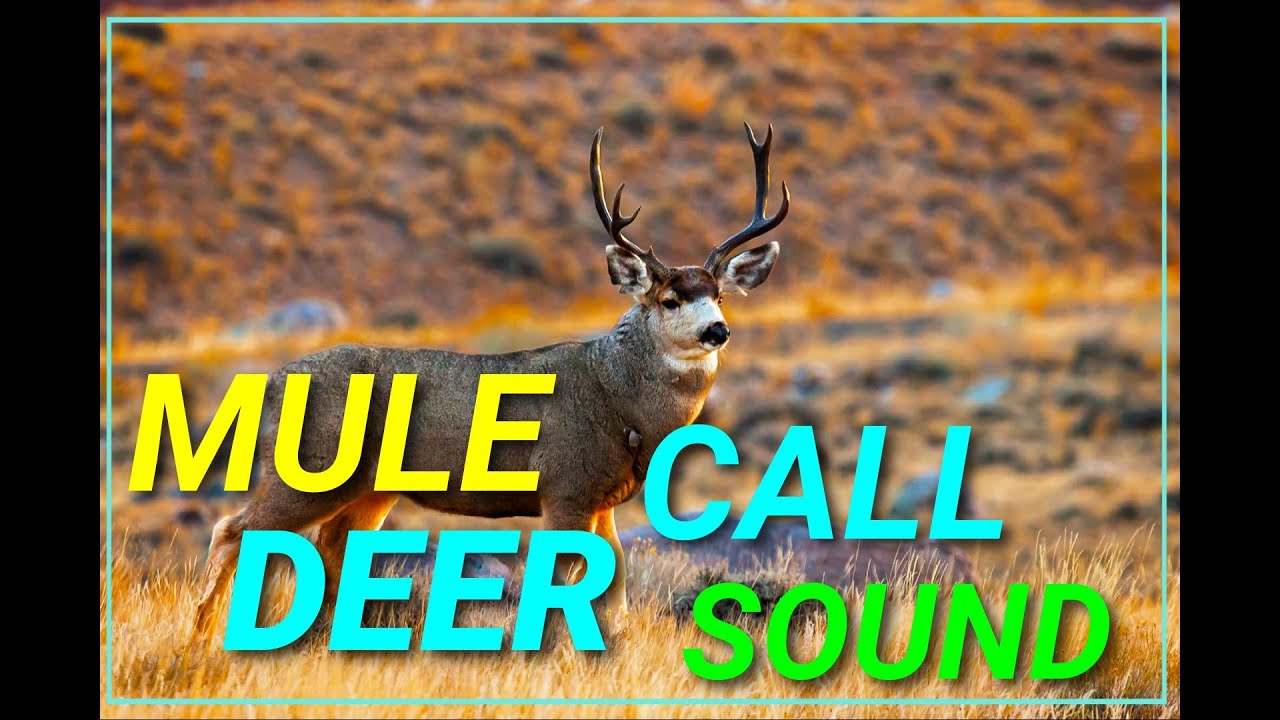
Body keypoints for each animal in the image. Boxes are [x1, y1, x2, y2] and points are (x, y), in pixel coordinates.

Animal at [190, 122, 791, 645]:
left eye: (720, 294)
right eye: (669, 299)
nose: (718, 329)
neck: (617, 397)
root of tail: (267, 383)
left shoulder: (603, 500)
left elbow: (616, 591)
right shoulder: (564, 488)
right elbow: (568, 584)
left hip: (369, 488)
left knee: (331, 542)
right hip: (307, 469)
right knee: (232, 528)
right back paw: (201, 635)